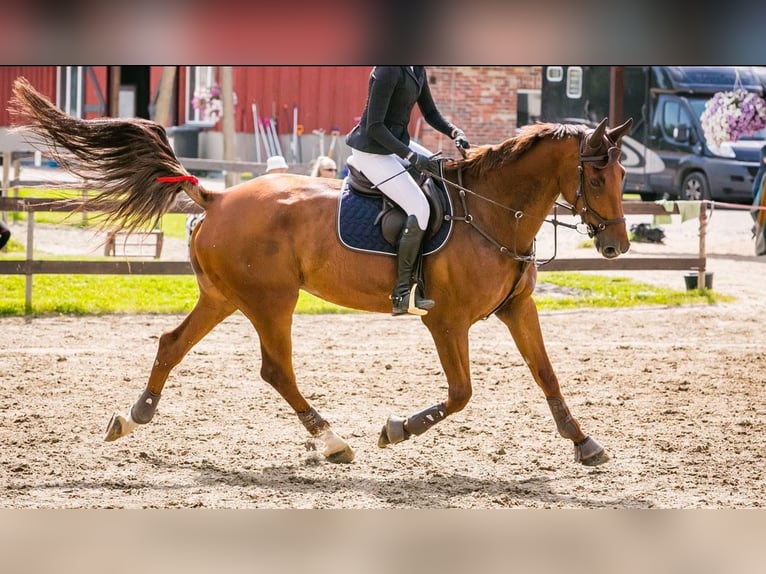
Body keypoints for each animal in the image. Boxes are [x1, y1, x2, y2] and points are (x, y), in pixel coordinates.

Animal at [12, 77, 632, 468]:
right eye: (599, 177)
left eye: (624, 176)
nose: (617, 246)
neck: (491, 211)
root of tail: (216, 197)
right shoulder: (446, 322)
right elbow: (460, 394)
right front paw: (396, 430)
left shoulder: (517, 309)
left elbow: (547, 375)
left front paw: (585, 443)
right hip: (271, 301)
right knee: (275, 370)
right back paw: (333, 441)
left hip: (224, 296)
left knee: (172, 342)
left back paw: (134, 415)